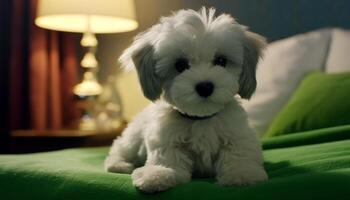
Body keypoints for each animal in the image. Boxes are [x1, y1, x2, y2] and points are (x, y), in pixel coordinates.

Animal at [105, 7, 266, 192]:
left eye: (221, 60)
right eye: (180, 65)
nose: (205, 86)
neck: (201, 119)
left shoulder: (238, 135)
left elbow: (239, 154)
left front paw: (242, 174)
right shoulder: (165, 140)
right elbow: (167, 158)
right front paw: (158, 174)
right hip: (133, 138)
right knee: (119, 148)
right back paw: (119, 165)